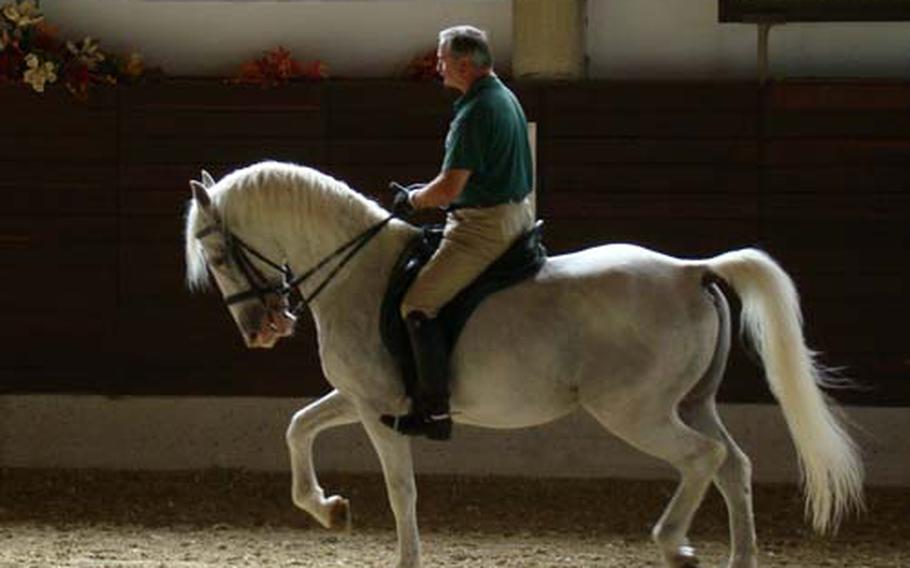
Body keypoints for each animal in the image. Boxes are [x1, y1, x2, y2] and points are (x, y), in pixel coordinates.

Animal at [183, 160, 864, 568]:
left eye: (215, 254)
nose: (261, 330)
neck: (359, 269)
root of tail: (687, 271)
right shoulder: (362, 398)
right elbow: (297, 427)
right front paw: (329, 510)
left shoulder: (377, 411)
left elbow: (402, 491)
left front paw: (397, 551)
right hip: (692, 401)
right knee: (734, 465)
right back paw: (737, 556)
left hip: (637, 412)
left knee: (704, 458)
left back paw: (674, 544)